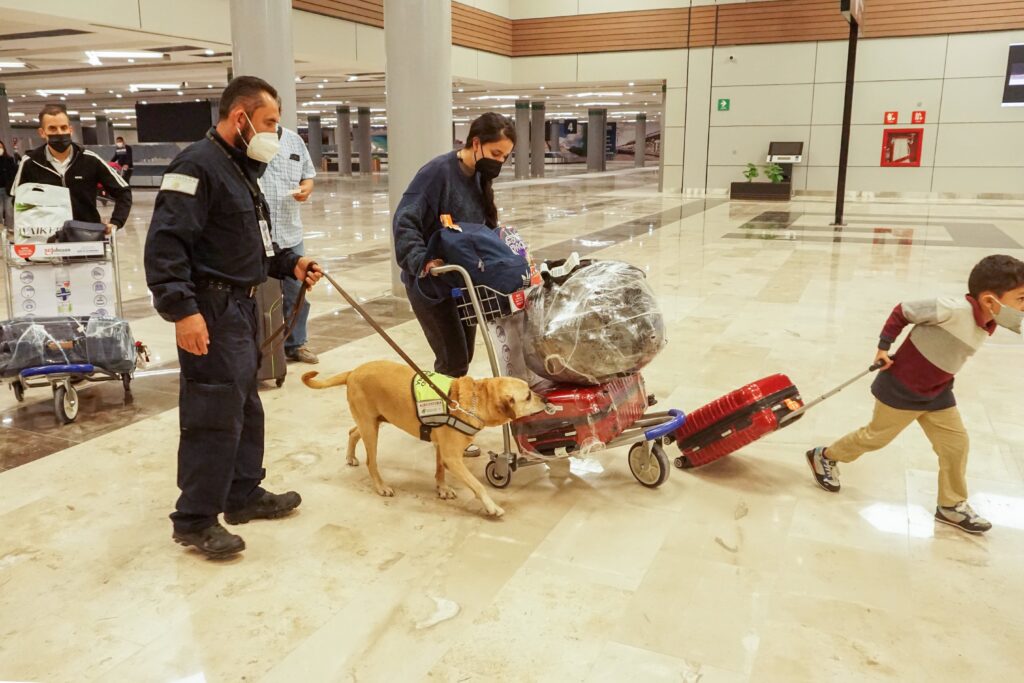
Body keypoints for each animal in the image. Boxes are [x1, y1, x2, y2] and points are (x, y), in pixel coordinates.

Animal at [301, 360, 548, 516]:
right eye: (528, 396)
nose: (545, 399)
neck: (476, 401)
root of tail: (353, 371)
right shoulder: (452, 457)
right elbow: (478, 486)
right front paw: (491, 507)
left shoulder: (442, 450)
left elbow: (439, 470)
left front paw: (442, 489)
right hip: (371, 429)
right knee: (371, 461)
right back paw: (381, 486)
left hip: (372, 422)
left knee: (352, 432)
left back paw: (351, 457)